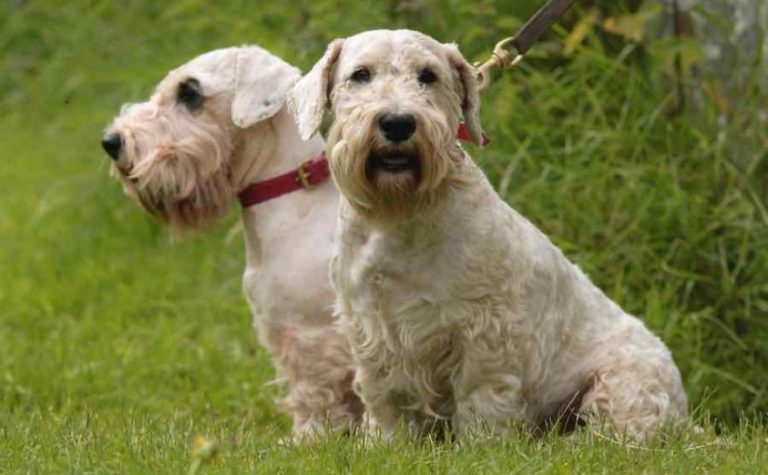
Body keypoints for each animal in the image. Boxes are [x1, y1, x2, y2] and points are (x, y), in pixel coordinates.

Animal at [100, 46, 362, 440]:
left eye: (190, 92)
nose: (112, 141)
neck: (293, 192)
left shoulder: (309, 334)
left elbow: (314, 393)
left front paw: (309, 438)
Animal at [292, 29, 688, 442]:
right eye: (360, 75)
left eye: (428, 75)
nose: (398, 122)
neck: (399, 216)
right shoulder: (370, 326)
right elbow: (384, 397)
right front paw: (386, 442)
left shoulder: (484, 329)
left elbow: (480, 394)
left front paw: (482, 444)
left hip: (623, 383)